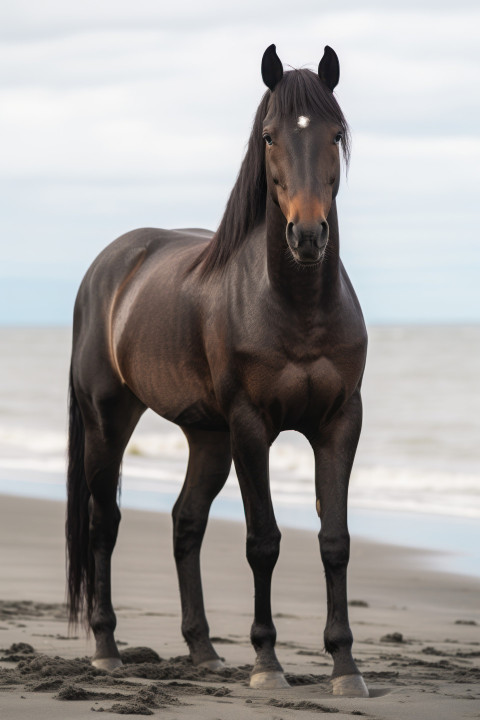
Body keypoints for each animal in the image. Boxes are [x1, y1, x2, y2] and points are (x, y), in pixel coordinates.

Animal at [65, 45, 370, 696]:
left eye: (335, 134)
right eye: (270, 136)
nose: (309, 235)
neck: (298, 307)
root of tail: (110, 265)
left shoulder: (340, 424)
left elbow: (334, 541)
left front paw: (345, 667)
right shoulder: (251, 427)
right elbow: (264, 542)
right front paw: (267, 664)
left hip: (206, 435)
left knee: (186, 522)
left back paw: (203, 650)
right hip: (109, 421)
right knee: (105, 524)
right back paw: (106, 649)